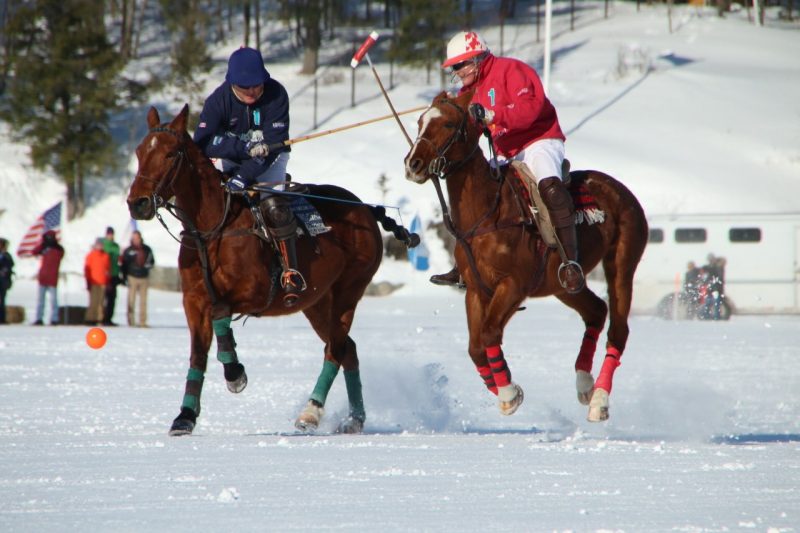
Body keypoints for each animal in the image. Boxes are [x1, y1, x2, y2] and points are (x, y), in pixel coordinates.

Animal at [128, 106, 416, 434]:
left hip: (349, 288)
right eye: (139, 152)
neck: (212, 228)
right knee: (348, 348)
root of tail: (365, 208)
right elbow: (198, 354)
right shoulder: (193, 299)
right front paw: (185, 417)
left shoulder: (256, 294)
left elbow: (221, 312)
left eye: (170, 153)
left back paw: (310, 411)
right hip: (317, 301)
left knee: (336, 348)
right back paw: (355, 419)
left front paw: (235, 373)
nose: (137, 204)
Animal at [404, 92, 648, 424]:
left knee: (618, 329)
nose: (412, 164)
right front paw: (506, 388)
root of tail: (621, 189)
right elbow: (476, 346)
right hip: (562, 285)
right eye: (420, 121)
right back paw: (584, 384)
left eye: (449, 124)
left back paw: (599, 400)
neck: (485, 213)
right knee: (596, 310)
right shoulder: (477, 290)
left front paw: (508, 394)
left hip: (622, 264)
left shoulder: (513, 285)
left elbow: (489, 333)